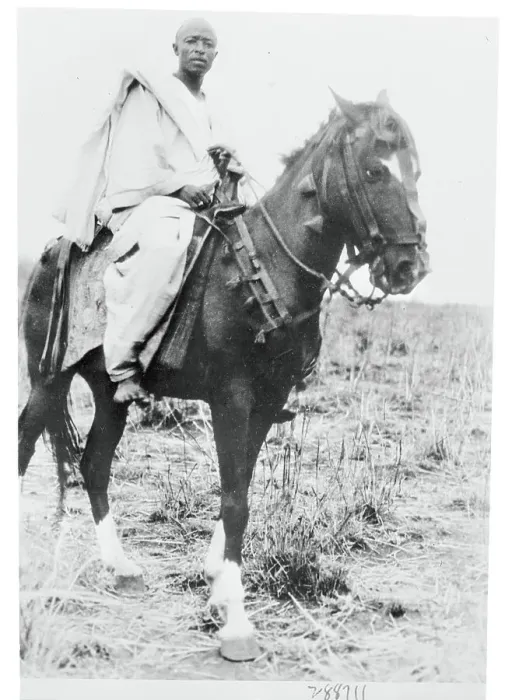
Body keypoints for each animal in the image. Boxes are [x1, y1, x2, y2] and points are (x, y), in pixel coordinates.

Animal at [18, 89, 430, 661]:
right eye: (374, 170)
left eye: (416, 170)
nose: (411, 267)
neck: (268, 268)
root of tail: (53, 252)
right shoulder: (232, 399)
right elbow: (236, 502)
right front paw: (235, 622)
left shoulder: (267, 401)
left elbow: (242, 485)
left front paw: (217, 581)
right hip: (46, 381)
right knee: (24, 444)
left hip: (109, 393)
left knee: (94, 465)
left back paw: (120, 567)